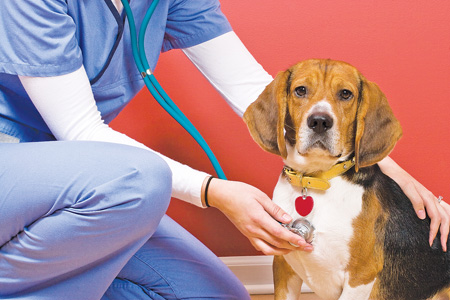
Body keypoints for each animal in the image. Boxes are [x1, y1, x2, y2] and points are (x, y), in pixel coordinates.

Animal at [244, 58, 448, 300]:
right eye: (300, 90)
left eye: (345, 94)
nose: (319, 121)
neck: (315, 180)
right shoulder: (283, 267)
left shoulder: (360, 276)